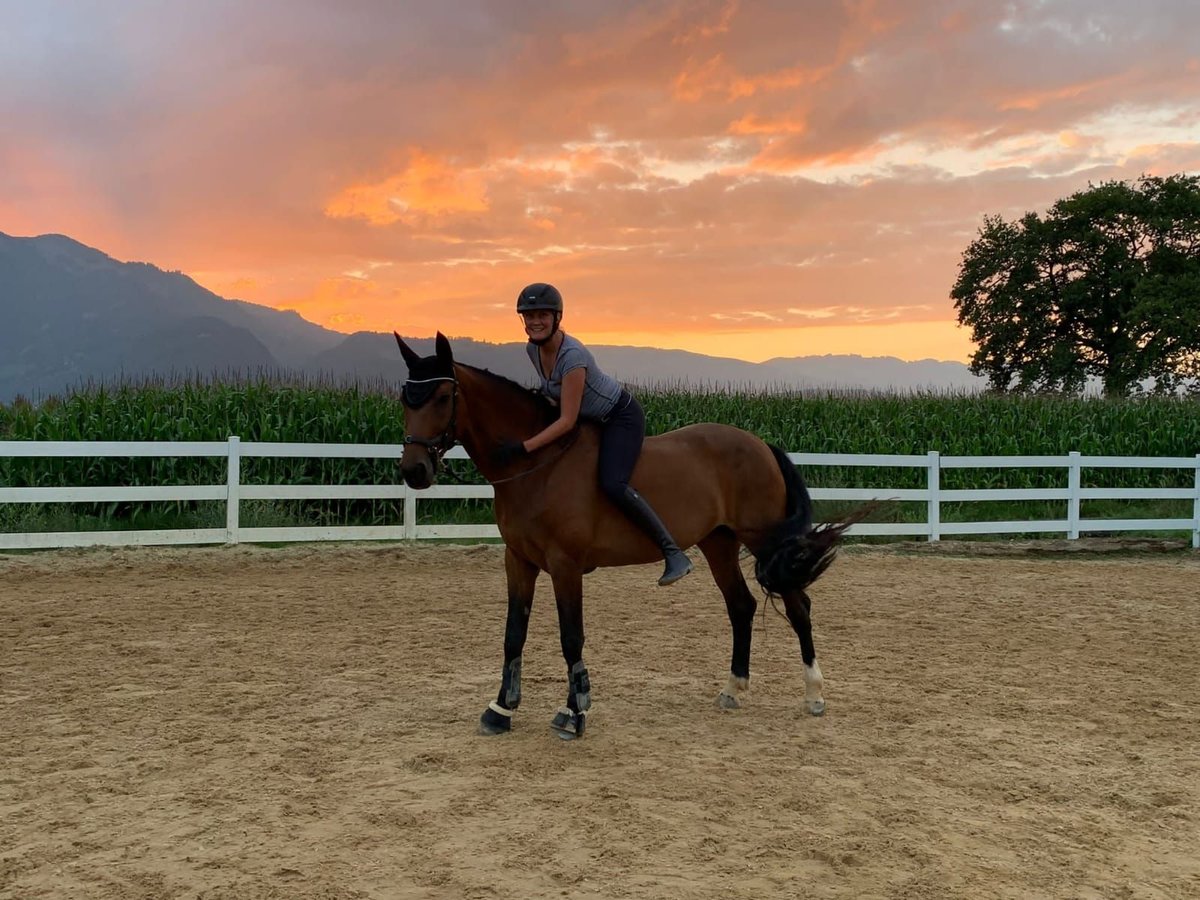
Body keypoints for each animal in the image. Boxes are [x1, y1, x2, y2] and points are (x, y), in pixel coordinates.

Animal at [398, 336, 859, 744]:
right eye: (406, 399)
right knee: (741, 606)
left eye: (442, 396)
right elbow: (514, 634)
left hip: (761, 539)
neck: (536, 466)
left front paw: (573, 713)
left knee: (798, 606)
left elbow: (571, 637)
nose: (413, 471)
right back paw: (733, 689)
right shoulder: (519, 561)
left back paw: (814, 695)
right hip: (719, 543)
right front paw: (500, 710)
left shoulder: (565, 565)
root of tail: (760, 444)